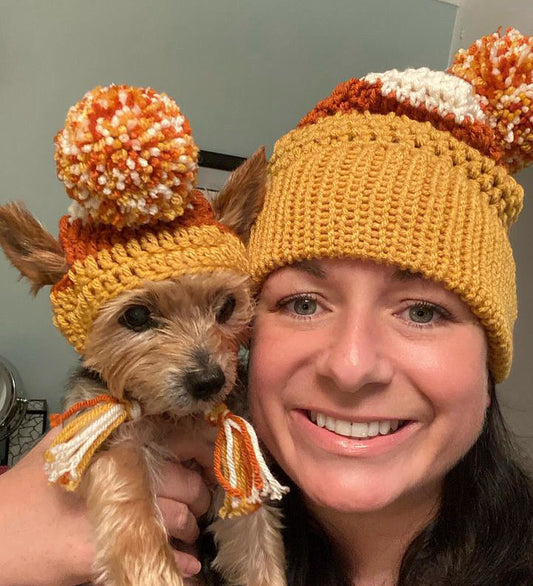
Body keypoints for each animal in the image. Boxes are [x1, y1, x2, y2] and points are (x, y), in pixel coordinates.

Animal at [0, 85, 286, 584]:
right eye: (135, 317)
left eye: (227, 307)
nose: (209, 381)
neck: (171, 417)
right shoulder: (108, 438)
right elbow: (130, 488)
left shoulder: (224, 459)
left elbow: (254, 540)